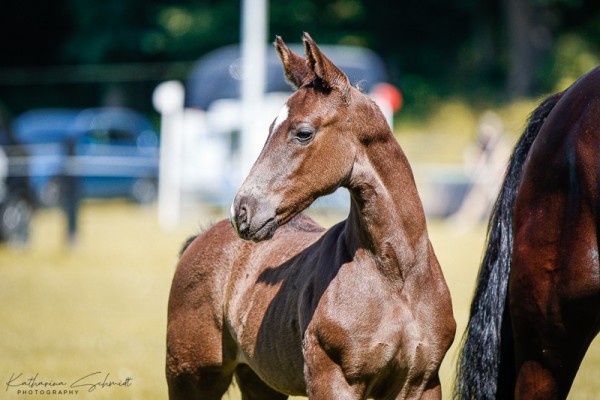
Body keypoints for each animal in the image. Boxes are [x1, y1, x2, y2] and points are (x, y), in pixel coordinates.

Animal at [164, 32, 454, 398]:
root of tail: (200, 239)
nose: (242, 211)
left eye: (303, 132)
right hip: (190, 375)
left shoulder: (421, 382)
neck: (397, 276)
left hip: (259, 381)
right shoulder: (332, 379)